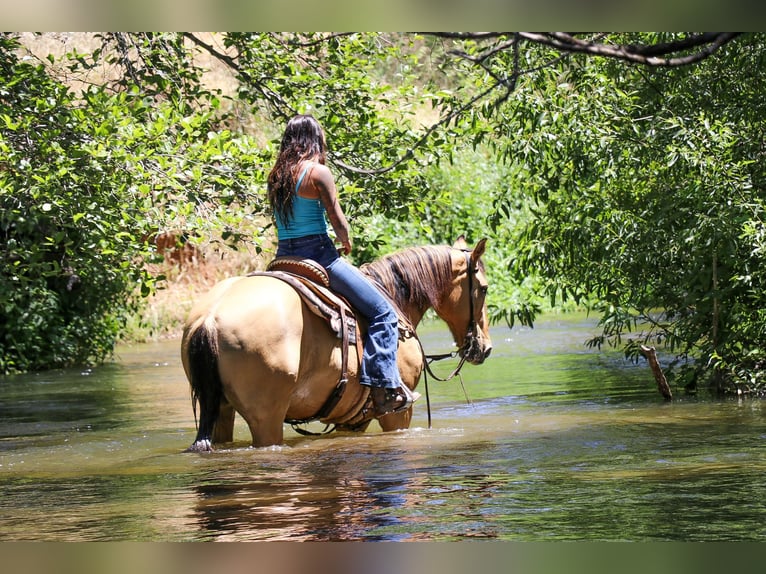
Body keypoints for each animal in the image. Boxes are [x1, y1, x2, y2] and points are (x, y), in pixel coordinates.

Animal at [181, 236, 492, 451]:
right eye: (485, 288)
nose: (485, 348)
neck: (394, 297)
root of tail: (210, 317)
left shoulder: (351, 420)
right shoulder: (399, 414)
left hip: (222, 411)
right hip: (265, 419)